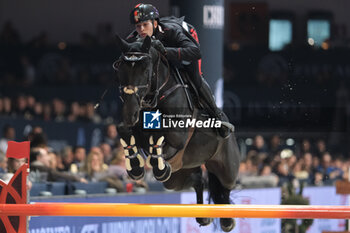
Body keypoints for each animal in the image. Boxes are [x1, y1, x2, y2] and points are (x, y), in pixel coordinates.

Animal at [112, 34, 241, 231]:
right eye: (120, 68)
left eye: (146, 69)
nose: (129, 113)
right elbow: (125, 130)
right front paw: (135, 167)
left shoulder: (178, 135)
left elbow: (160, 136)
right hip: (177, 177)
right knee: (198, 180)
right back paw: (203, 216)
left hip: (227, 167)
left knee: (225, 187)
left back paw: (227, 221)